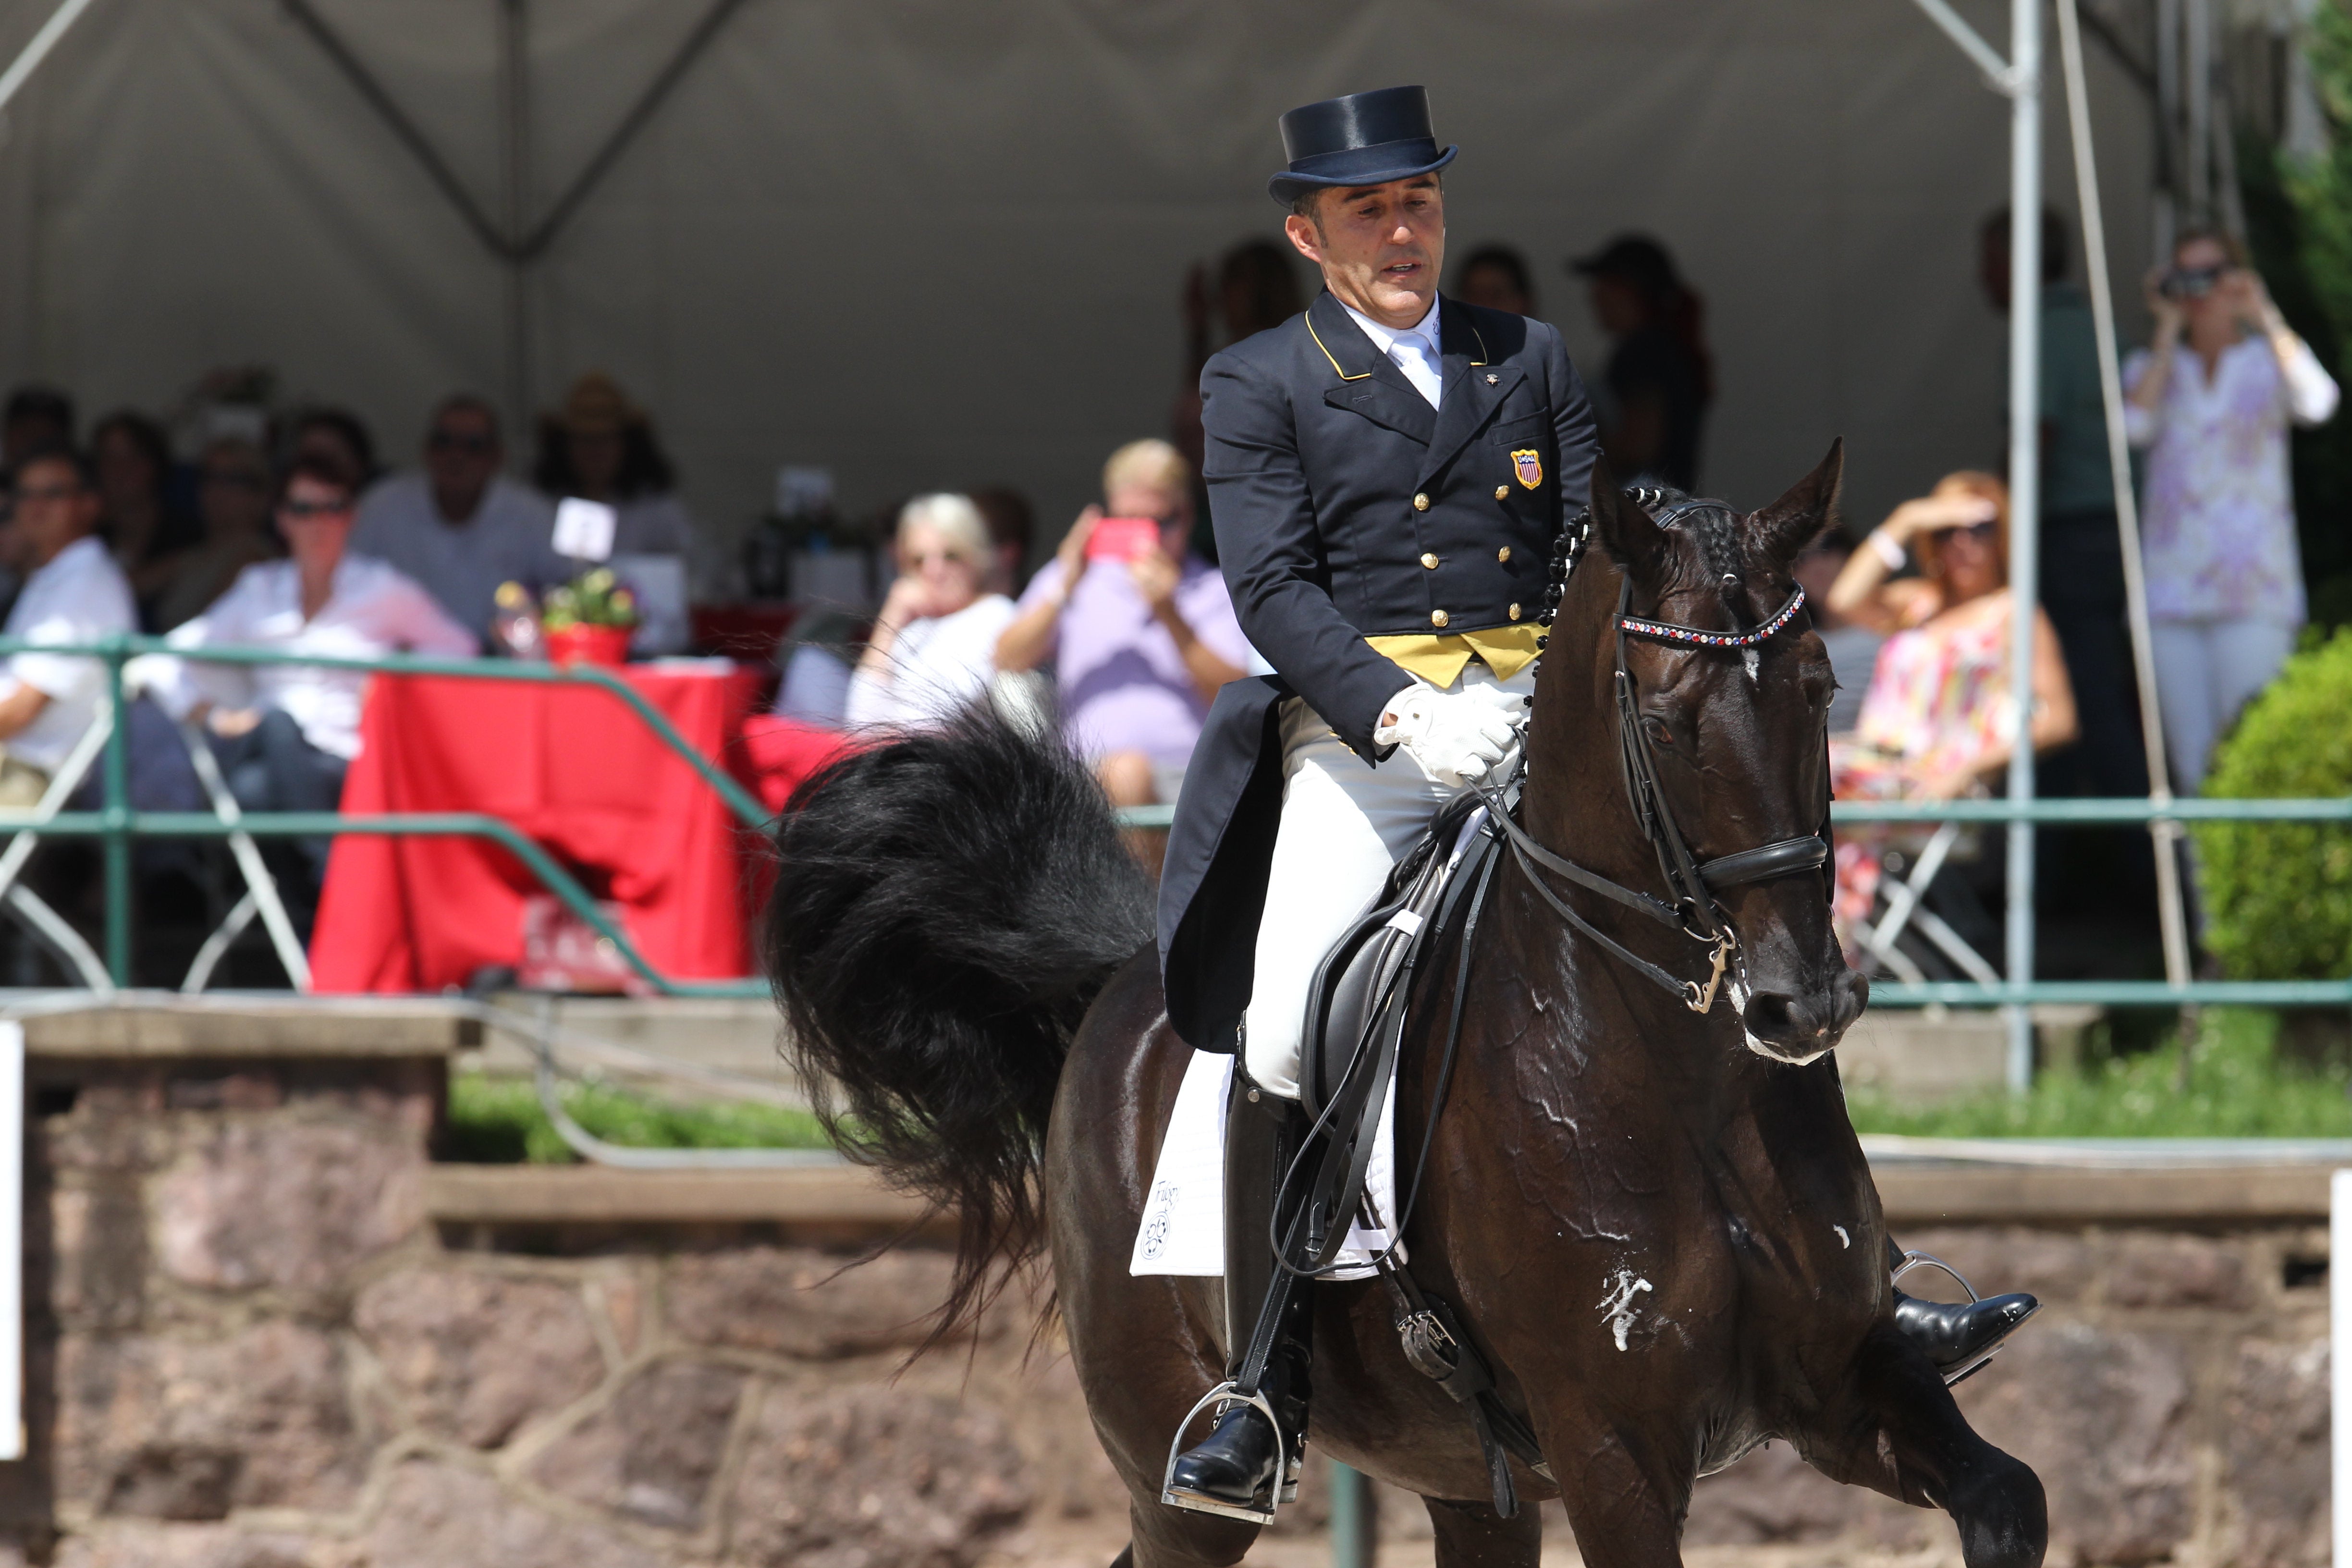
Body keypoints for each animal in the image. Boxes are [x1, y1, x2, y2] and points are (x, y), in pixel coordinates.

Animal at [757, 444, 2041, 1568]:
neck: (1679, 1075)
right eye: (1669, 720)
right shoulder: (1612, 1444)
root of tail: (1123, 984)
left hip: (1468, 1479)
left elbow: (2009, 1501)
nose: (1799, 1002)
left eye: (1822, 689)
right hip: (1177, 1477)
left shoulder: (1843, 1379)